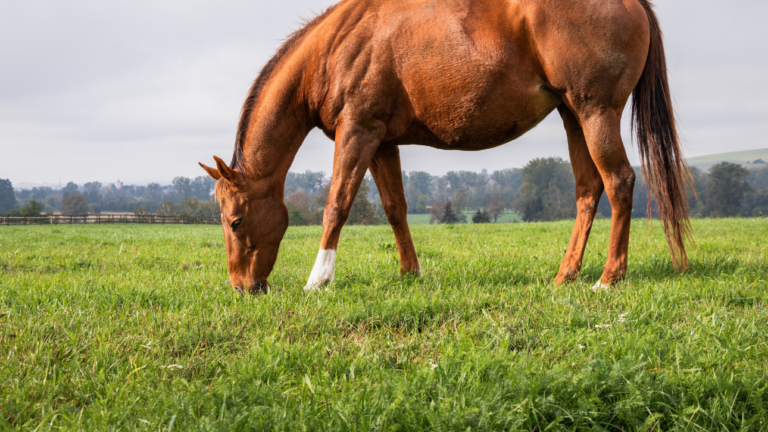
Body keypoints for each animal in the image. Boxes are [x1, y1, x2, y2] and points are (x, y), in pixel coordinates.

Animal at [198, 0, 688, 294]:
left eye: (235, 221)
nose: (242, 287)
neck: (336, 46)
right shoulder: (381, 142)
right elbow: (395, 208)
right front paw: (409, 272)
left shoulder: (358, 132)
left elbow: (337, 204)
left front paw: (319, 279)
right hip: (573, 116)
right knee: (589, 190)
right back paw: (566, 274)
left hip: (595, 112)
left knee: (619, 182)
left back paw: (609, 277)